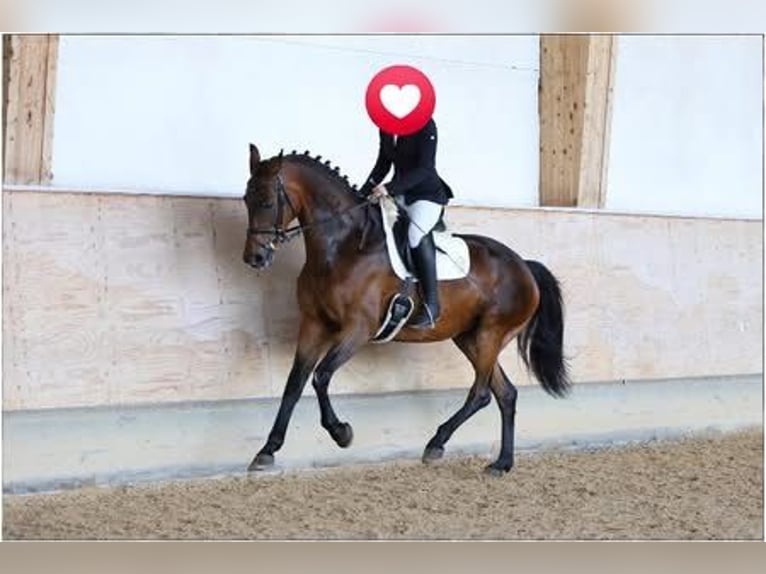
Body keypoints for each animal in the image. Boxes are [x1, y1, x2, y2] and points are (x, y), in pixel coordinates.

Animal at [242, 144, 571, 476]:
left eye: (267, 202)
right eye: (245, 199)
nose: (254, 258)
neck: (342, 246)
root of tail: (524, 266)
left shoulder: (358, 329)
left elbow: (321, 376)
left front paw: (341, 432)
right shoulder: (313, 324)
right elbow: (294, 385)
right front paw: (267, 450)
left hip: (490, 334)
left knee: (481, 393)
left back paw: (436, 444)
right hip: (470, 338)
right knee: (505, 394)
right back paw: (502, 463)